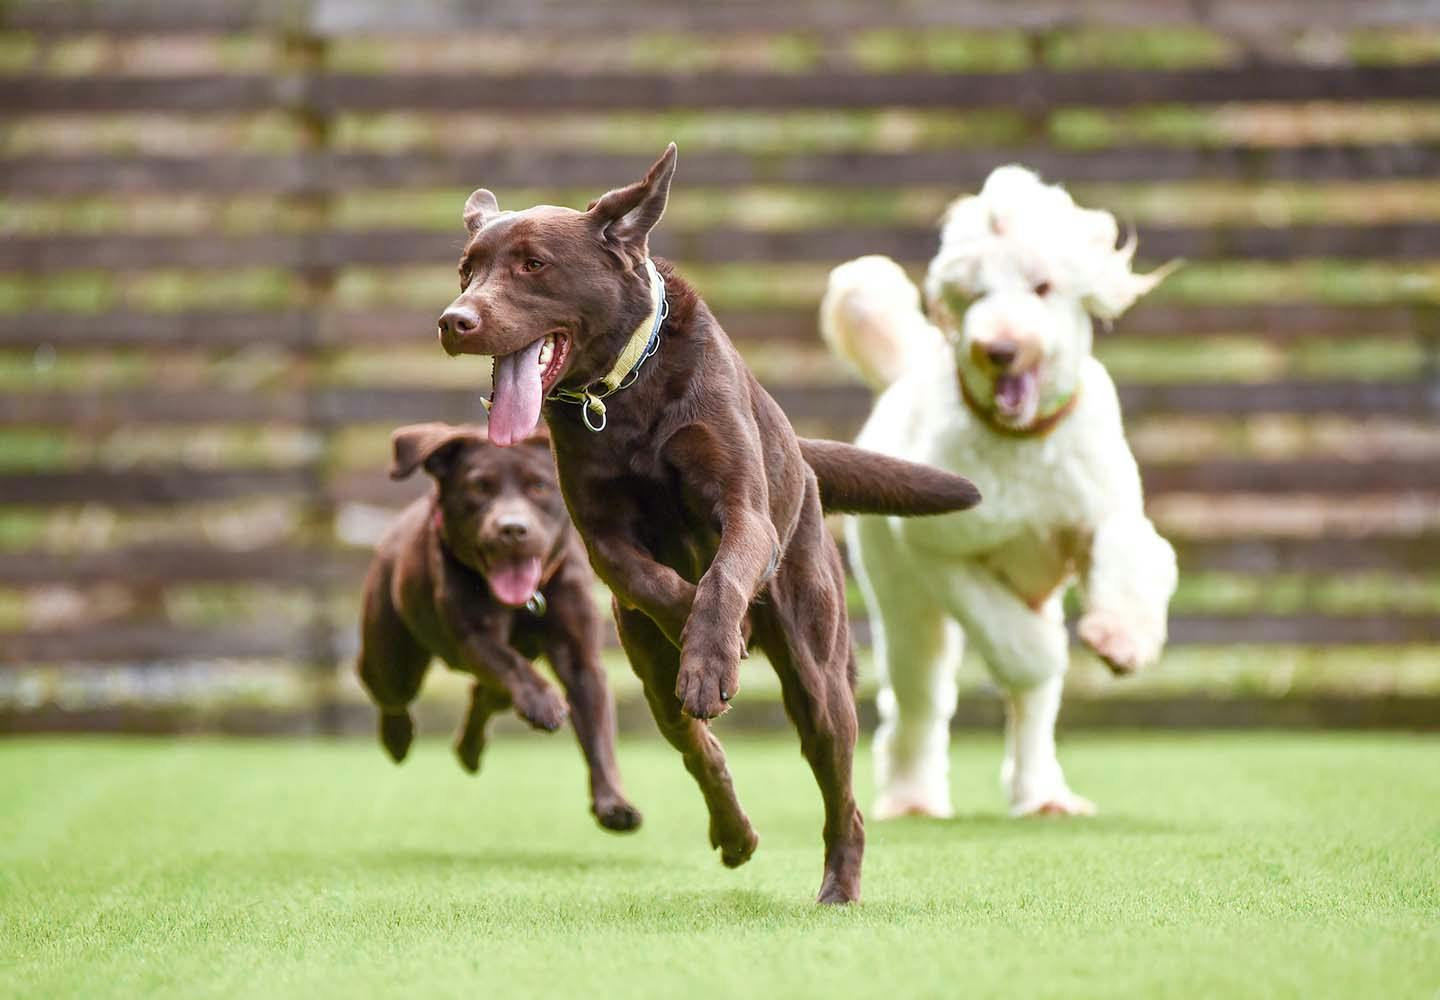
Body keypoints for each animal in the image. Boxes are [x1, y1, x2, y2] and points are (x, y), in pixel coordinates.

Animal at [354, 420, 636, 829]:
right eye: (479, 487)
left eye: (539, 486)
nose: (513, 529)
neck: (527, 601)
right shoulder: (474, 636)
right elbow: (510, 663)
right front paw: (544, 702)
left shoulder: (580, 655)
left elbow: (598, 731)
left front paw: (614, 803)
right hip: (392, 658)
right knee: (388, 690)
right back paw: (398, 738)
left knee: (486, 694)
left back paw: (469, 750)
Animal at [823, 166, 1180, 824]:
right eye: (973, 296)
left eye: (1042, 288)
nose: (998, 348)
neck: (1022, 440)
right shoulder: (938, 550)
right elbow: (1024, 654)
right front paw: (1043, 652)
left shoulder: (1109, 515)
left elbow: (1130, 562)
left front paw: (1121, 638)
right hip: (903, 602)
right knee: (920, 701)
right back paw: (912, 797)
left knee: (1031, 711)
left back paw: (1042, 793)